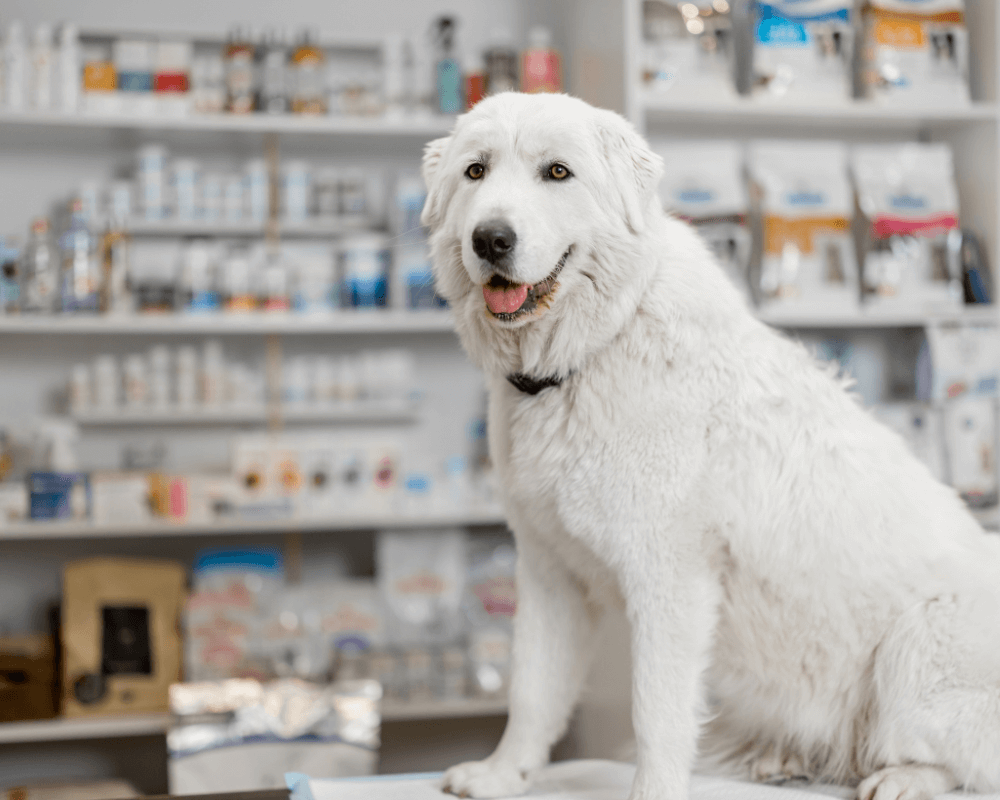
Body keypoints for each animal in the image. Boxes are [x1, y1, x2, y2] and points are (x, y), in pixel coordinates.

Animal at [420, 94, 1000, 800]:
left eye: (557, 172)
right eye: (475, 171)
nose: (491, 239)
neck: (596, 349)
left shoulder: (668, 578)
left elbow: (655, 711)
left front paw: (653, 792)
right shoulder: (550, 573)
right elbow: (532, 689)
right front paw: (504, 773)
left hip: (919, 641)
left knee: (966, 761)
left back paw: (903, 779)